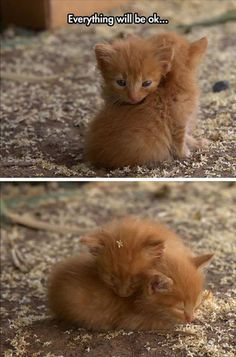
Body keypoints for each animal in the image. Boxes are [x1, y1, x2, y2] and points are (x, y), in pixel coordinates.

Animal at [84, 32, 206, 168]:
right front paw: (185, 153)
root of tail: (92, 153)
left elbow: (187, 137)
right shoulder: (179, 121)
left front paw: (197, 143)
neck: (171, 84)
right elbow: (180, 141)